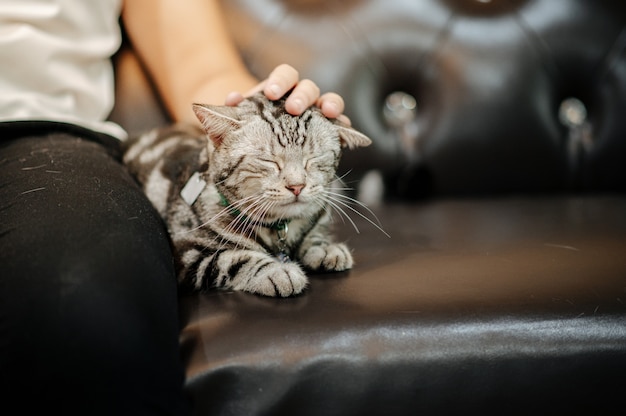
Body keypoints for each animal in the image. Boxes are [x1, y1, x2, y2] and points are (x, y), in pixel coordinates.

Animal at [124, 93, 372, 298]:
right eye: (269, 161)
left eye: (314, 158)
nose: (297, 186)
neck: (278, 228)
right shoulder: (186, 252)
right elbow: (234, 259)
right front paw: (277, 272)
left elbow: (313, 234)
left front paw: (323, 247)